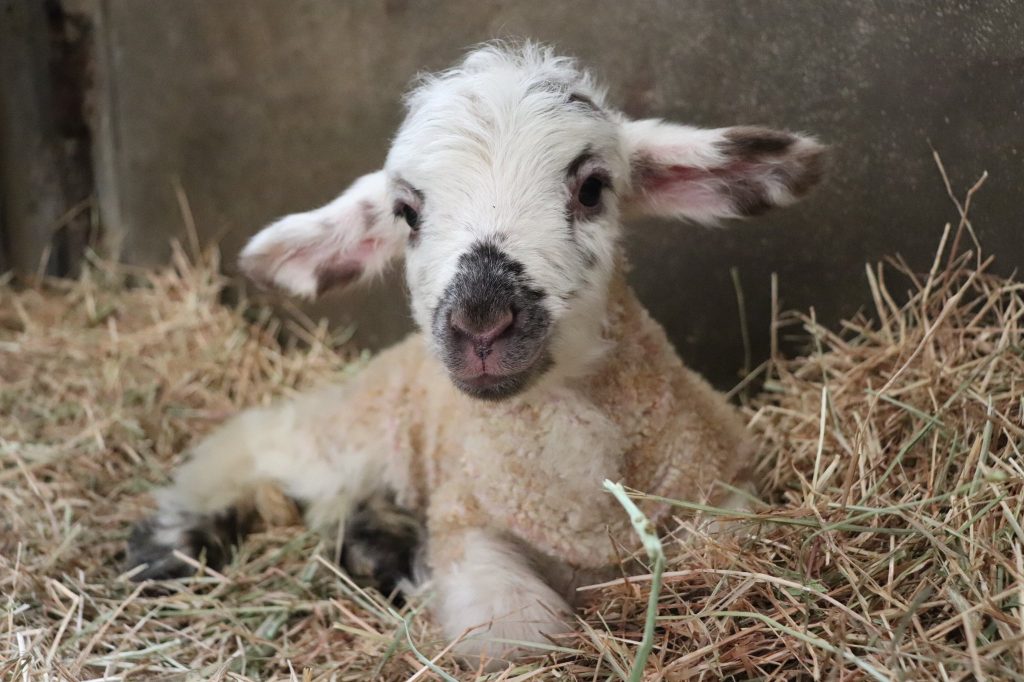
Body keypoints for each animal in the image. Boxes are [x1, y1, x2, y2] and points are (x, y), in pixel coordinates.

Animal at [123, 41, 827, 659]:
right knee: (257, 439)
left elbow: (734, 552)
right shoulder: (467, 524)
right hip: (359, 425)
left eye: (592, 189)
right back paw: (169, 544)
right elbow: (522, 635)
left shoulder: (721, 488)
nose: (481, 325)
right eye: (406, 213)